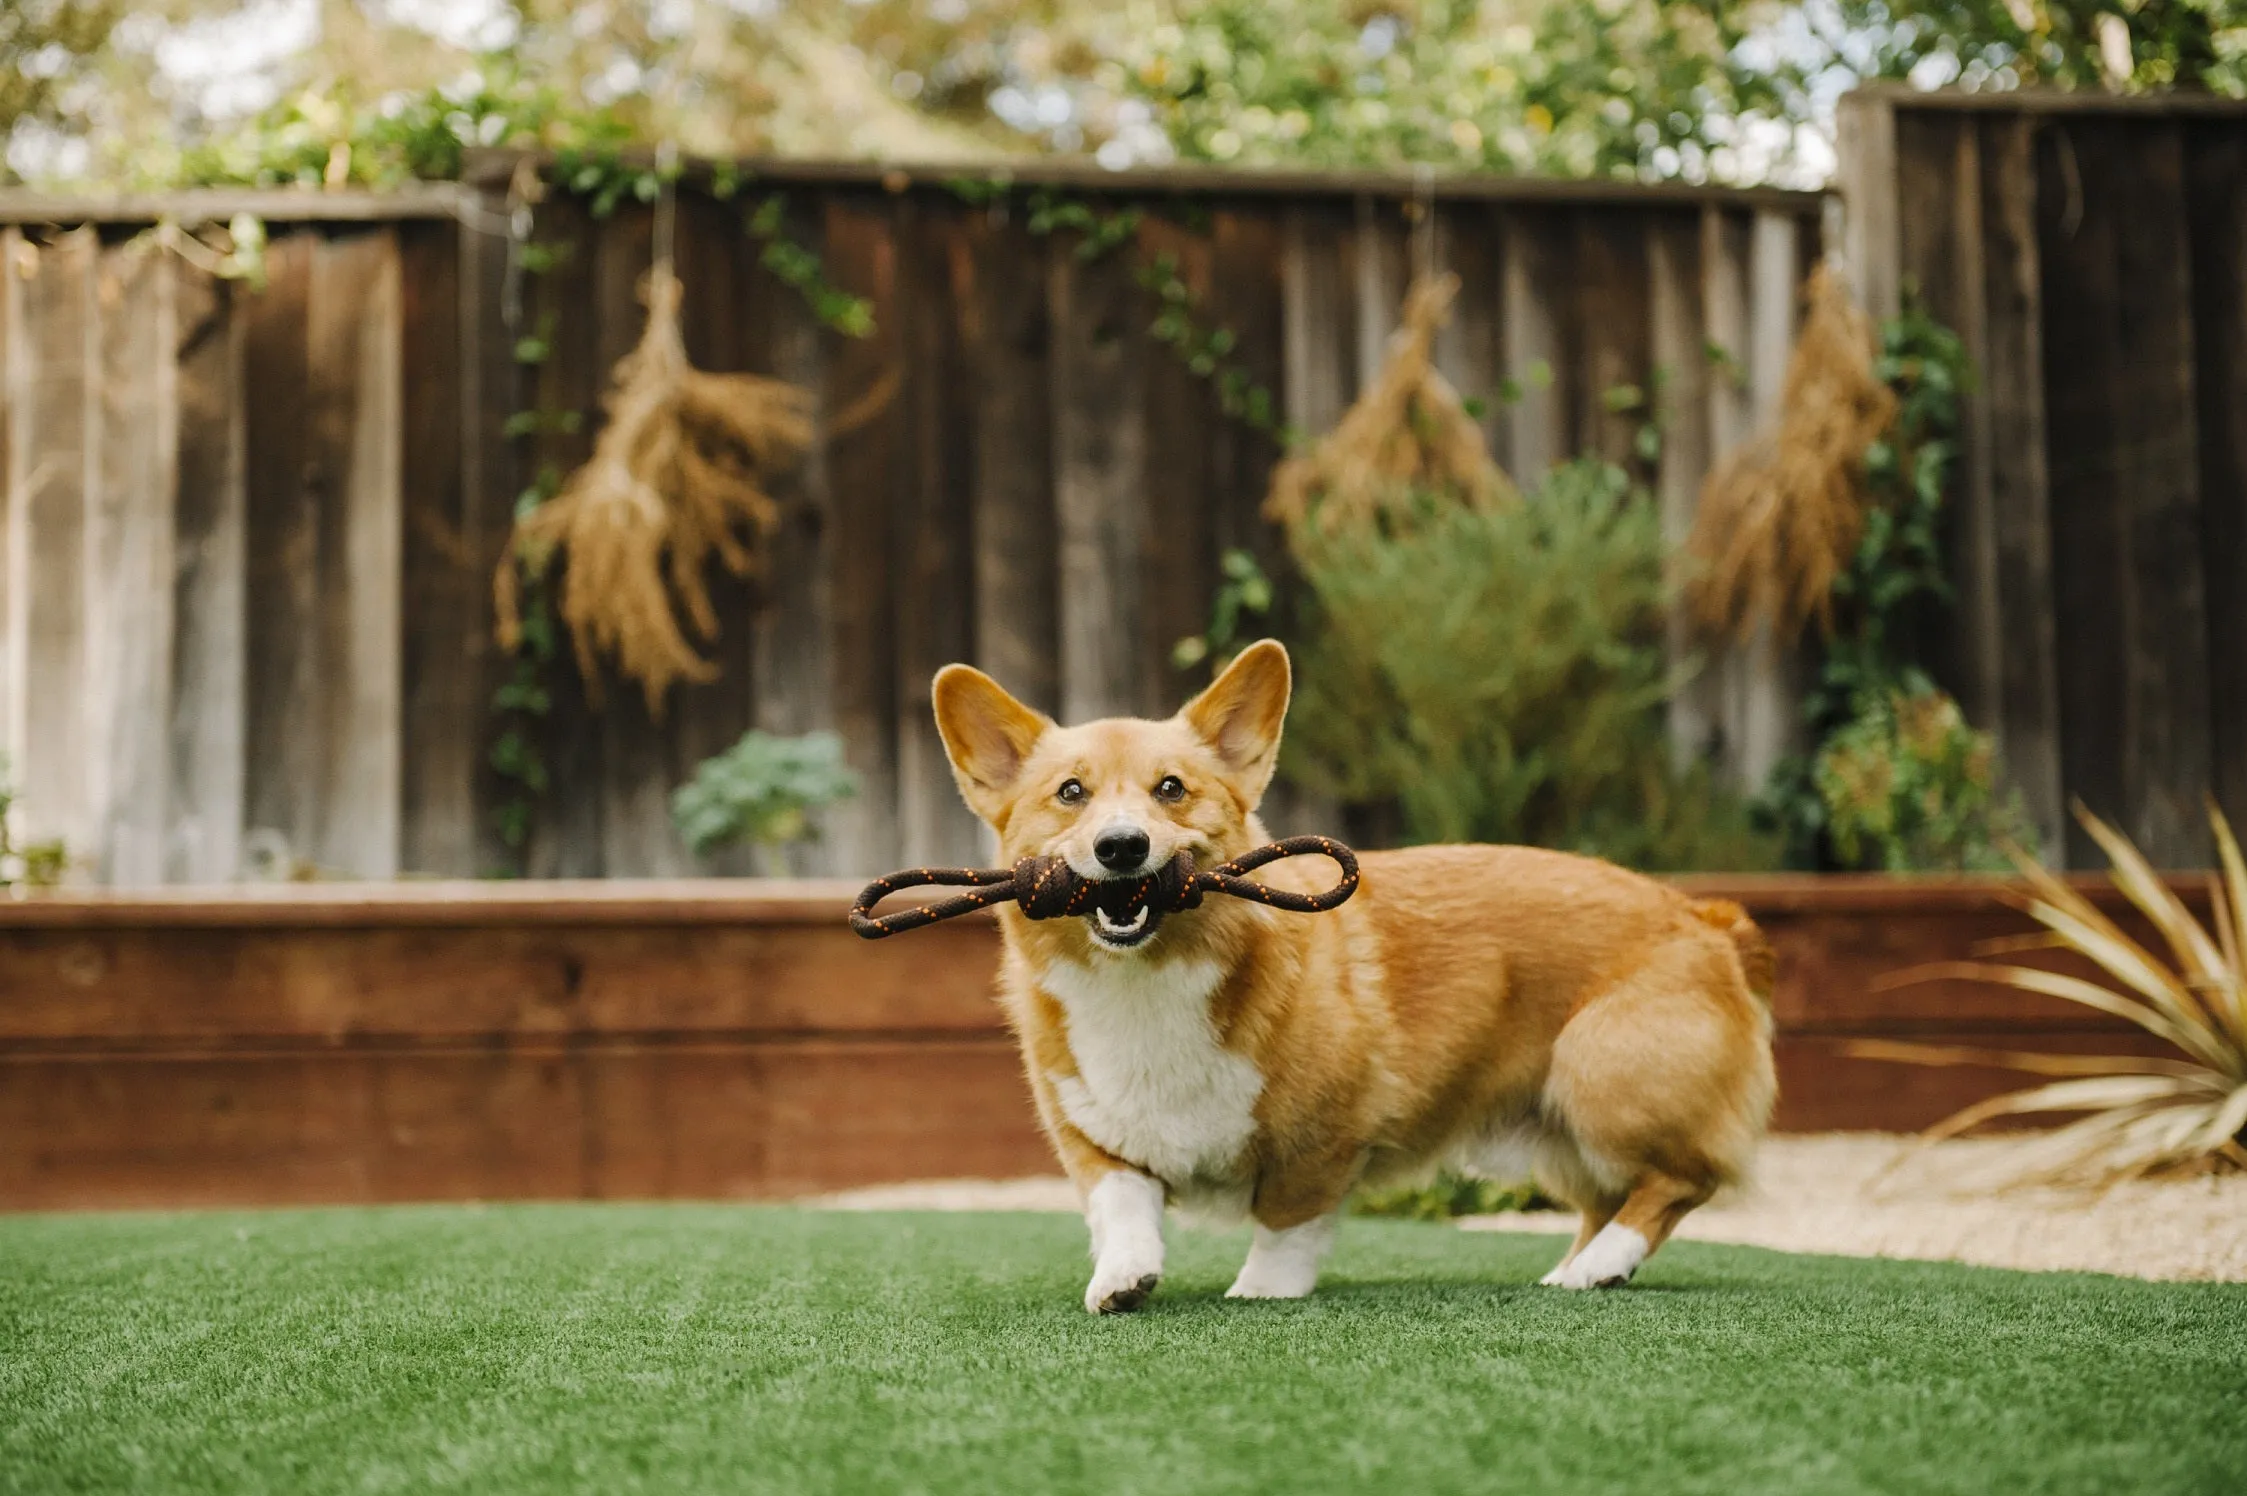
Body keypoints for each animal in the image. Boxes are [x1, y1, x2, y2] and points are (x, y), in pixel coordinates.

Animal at [930, 633, 1770, 1311]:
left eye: (1171, 788)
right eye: (1070, 793)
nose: (1121, 847)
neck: (1146, 981)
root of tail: (1701, 916)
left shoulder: (1322, 1139)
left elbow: (1285, 1224)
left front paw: (1261, 1292)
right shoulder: (1096, 1142)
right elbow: (1123, 1211)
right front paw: (1120, 1281)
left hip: (1598, 1075)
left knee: (1678, 1182)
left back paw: (1601, 1266)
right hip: (1560, 1127)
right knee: (1609, 1198)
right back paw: (1574, 1272)